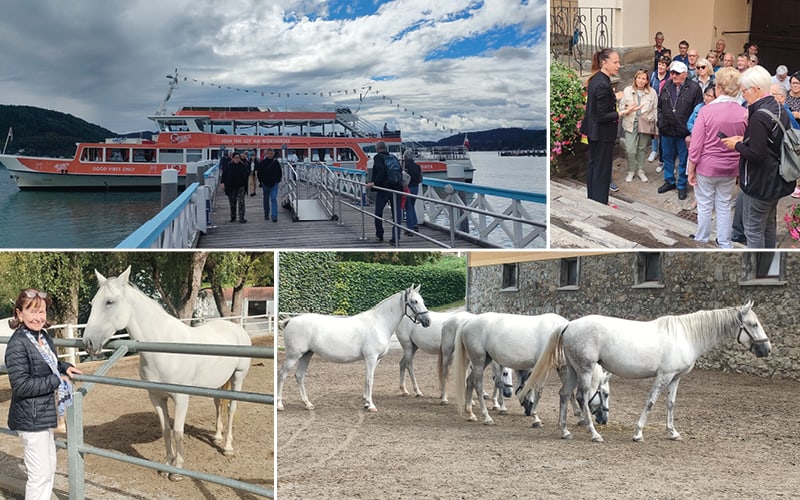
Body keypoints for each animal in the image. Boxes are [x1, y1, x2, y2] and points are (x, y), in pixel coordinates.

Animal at [81, 268, 250, 478]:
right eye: (92, 303)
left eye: (109, 302)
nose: (88, 343)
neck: (163, 350)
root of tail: (236, 327)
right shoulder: (156, 397)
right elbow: (166, 430)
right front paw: (167, 465)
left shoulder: (181, 398)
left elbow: (178, 431)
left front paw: (177, 470)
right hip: (218, 382)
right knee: (218, 403)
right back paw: (217, 437)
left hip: (238, 377)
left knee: (231, 409)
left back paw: (227, 447)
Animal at [280, 284, 432, 412]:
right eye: (414, 301)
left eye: (422, 300)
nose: (428, 321)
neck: (379, 323)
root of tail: (291, 320)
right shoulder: (371, 358)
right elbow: (370, 379)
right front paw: (371, 405)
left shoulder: (376, 359)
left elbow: (368, 378)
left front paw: (366, 402)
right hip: (293, 355)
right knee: (282, 374)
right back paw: (279, 405)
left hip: (306, 354)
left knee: (299, 376)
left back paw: (308, 404)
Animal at [520, 300, 772, 442]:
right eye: (753, 324)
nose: (767, 349)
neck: (685, 335)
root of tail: (569, 325)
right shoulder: (664, 376)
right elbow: (651, 402)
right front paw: (638, 433)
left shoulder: (675, 379)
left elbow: (671, 404)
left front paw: (673, 432)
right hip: (585, 369)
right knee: (581, 398)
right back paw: (594, 434)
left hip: (573, 370)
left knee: (564, 395)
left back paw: (564, 432)